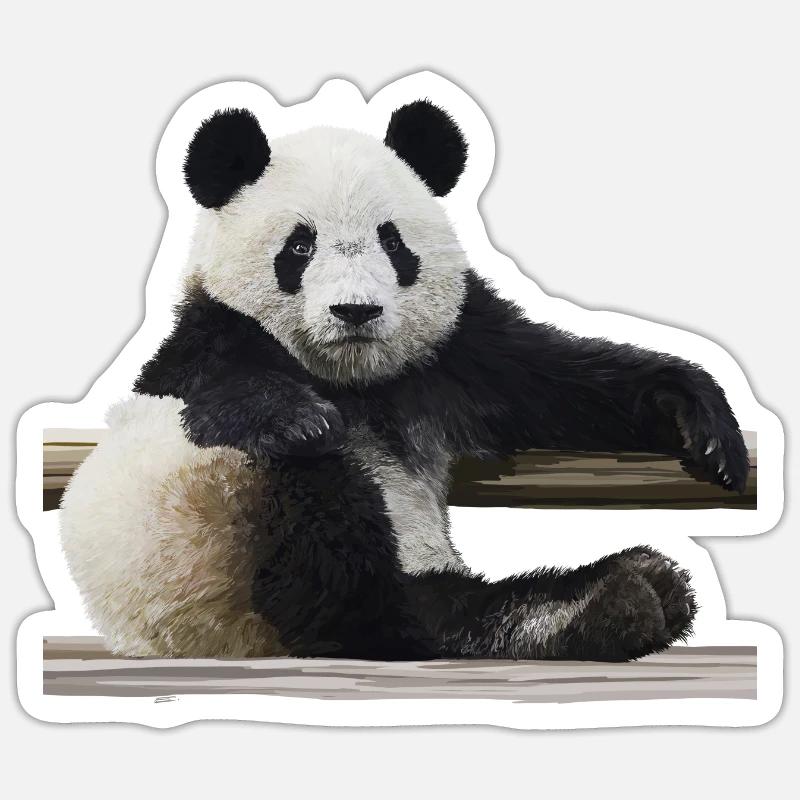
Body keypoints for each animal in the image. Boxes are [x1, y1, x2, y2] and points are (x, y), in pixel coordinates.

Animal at [60, 100, 750, 662]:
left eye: (391, 242)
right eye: (299, 247)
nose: (356, 311)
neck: (354, 380)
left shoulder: (456, 356)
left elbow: (564, 382)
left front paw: (701, 420)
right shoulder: (209, 344)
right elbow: (225, 394)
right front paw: (299, 419)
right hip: (214, 536)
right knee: (343, 570)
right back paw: (596, 603)